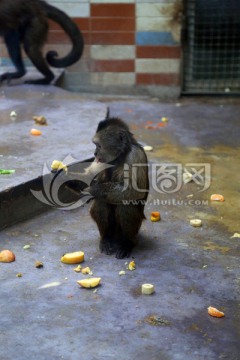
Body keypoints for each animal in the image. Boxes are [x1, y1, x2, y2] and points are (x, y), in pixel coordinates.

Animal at [83, 116, 149, 258]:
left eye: (98, 146)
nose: (94, 153)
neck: (119, 156)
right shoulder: (102, 161)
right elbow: (90, 175)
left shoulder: (135, 156)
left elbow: (134, 191)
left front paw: (93, 190)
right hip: (113, 229)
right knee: (101, 202)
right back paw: (106, 238)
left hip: (135, 227)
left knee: (125, 205)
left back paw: (128, 242)